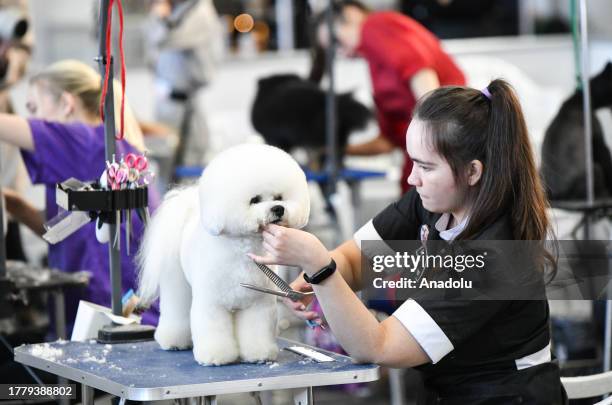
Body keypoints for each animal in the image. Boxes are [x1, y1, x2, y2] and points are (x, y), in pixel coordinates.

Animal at [139, 144, 310, 364]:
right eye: (255, 200)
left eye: (279, 197)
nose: (278, 209)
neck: (244, 251)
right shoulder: (211, 303)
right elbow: (213, 329)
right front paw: (215, 356)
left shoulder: (258, 304)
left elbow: (256, 330)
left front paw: (259, 353)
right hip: (177, 284)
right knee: (176, 309)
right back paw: (173, 341)